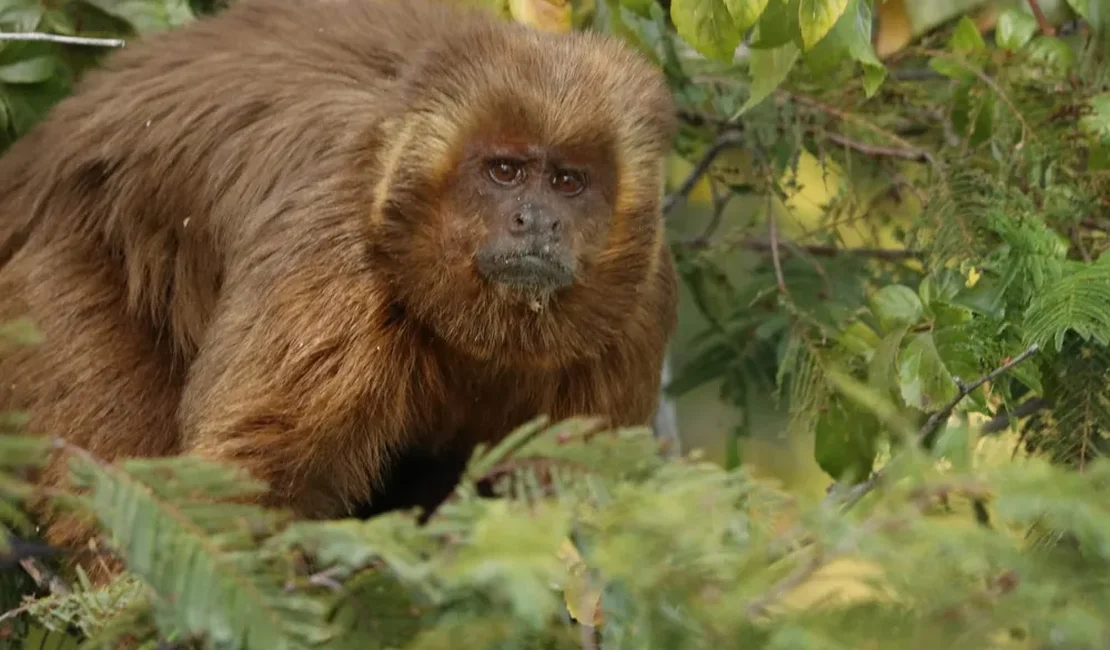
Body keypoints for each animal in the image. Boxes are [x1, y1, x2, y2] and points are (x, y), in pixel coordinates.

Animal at [0, 0, 678, 580]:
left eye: (568, 182)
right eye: (505, 172)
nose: (536, 221)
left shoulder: (638, 310)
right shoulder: (331, 259)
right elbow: (247, 481)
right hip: (54, 273)